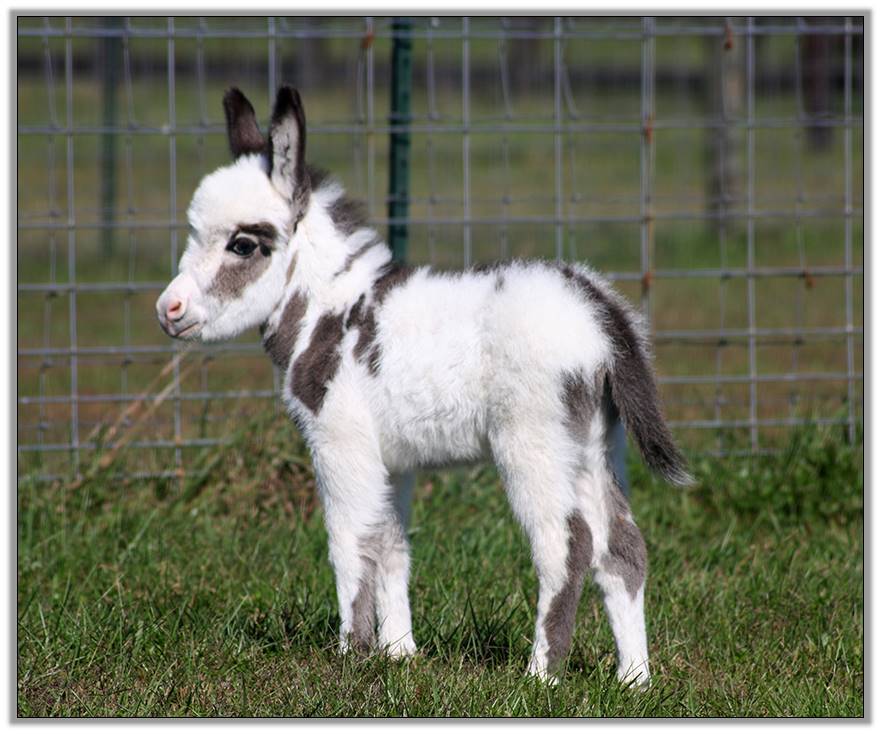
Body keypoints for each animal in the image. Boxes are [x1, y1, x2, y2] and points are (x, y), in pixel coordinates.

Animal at [156, 86, 692, 687]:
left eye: (244, 245)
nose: (168, 310)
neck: (330, 309)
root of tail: (599, 306)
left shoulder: (339, 442)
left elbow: (350, 543)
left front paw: (350, 654)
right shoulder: (392, 461)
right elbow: (390, 544)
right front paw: (399, 654)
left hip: (534, 442)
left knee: (566, 548)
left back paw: (541, 677)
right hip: (597, 443)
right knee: (622, 548)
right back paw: (634, 680)